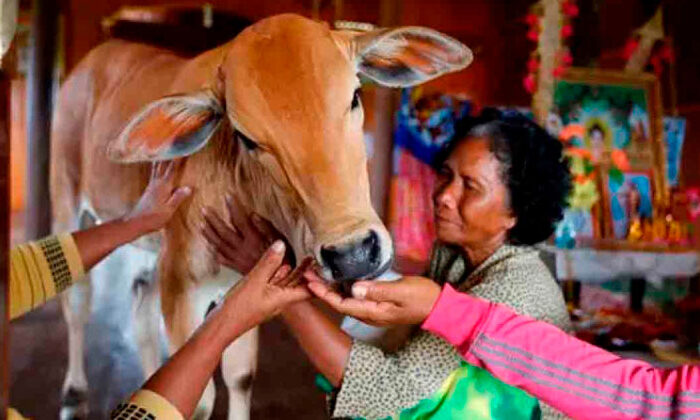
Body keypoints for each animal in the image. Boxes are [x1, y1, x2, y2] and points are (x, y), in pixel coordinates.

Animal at [50, 13, 472, 419]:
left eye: (354, 96)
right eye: (246, 138)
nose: (352, 254)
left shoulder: (233, 281)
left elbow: (240, 376)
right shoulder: (182, 283)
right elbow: (199, 398)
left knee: (140, 310)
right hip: (68, 200)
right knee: (77, 297)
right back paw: (73, 390)